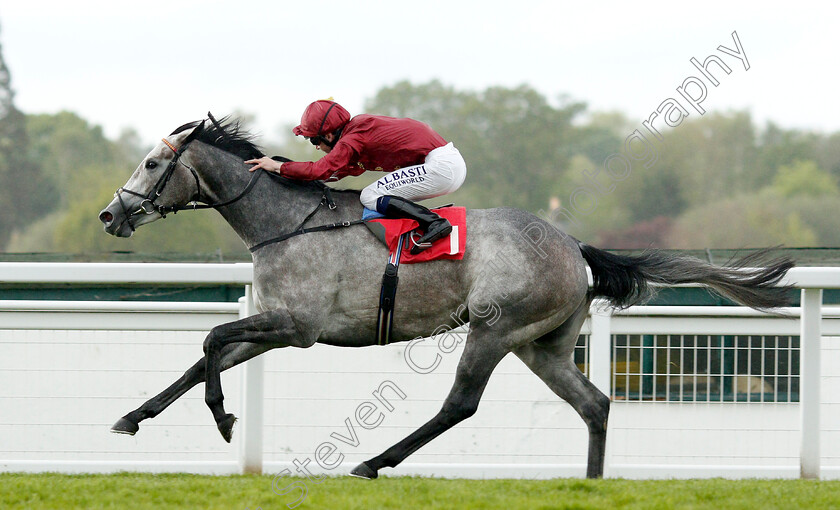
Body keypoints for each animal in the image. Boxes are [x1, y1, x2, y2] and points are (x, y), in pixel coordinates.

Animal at [98, 116, 796, 478]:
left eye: (153, 165)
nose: (111, 215)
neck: (287, 222)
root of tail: (572, 244)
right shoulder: (278, 325)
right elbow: (202, 357)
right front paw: (134, 417)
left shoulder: (297, 326)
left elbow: (211, 338)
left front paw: (222, 418)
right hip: (542, 345)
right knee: (594, 404)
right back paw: (593, 482)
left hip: (494, 328)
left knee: (460, 404)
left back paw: (373, 462)